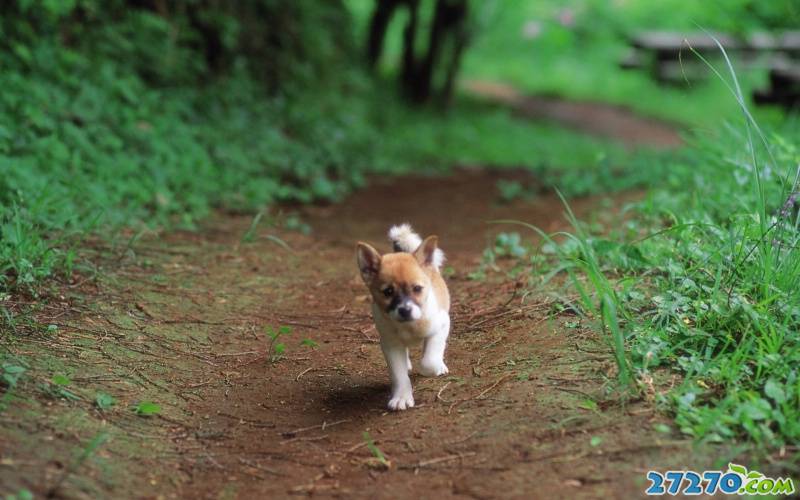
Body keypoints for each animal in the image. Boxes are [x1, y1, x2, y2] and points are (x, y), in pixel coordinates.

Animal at [356, 224, 450, 410]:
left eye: (417, 289)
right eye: (388, 292)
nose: (405, 311)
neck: (409, 326)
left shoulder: (442, 325)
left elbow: (428, 360)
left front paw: (434, 367)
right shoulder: (390, 345)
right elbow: (398, 375)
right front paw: (402, 397)